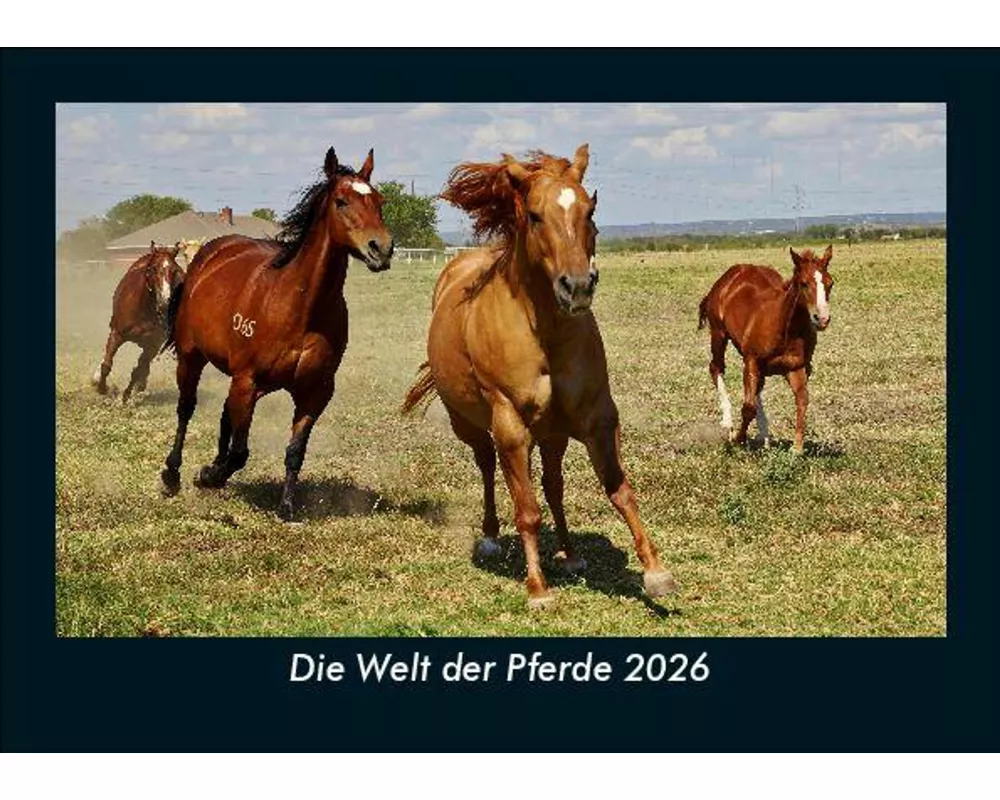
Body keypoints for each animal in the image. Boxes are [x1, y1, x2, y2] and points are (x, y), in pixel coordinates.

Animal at [92, 241, 186, 402]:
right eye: (152, 269)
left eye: (174, 271)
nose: (165, 301)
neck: (143, 310)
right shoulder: (117, 334)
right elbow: (107, 364)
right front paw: (102, 388)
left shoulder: (153, 344)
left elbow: (138, 370)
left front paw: (125, 397)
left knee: (143, 367)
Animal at [159, 147, 394, 520]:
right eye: (341, 201)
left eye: (379, 200)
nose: (381, 249)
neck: (300, 308)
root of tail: (209, 254)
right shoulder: (247, 380)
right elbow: (240, 452)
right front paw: (208, 476)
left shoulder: (314, 392)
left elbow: (294, 451)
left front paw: (286, 507)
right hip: (191, 358)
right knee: (186, 409)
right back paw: (173, 475)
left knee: (225, 416)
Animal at [403, 145, 677, 608]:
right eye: (533, 215)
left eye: (590, 209)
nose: (578, 286)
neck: (544, 333)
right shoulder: (511, 425)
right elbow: (527, 510)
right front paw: (537, 588)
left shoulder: (597, 417)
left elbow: (619, 490)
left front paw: (656, 572)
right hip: (472, 425)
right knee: (488, 467)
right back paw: (491, 538)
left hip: (553, 434)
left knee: (553, 485)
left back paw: (569, 554)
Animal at [697, 245, 835, 454]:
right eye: (803, 283)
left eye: (830, 283)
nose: (822, 319)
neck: (786, 330)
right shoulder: (751, 360)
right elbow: (748, 407)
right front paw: (738, 439)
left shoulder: (797, 368)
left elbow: (802, 400)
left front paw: (796, 448)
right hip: (718, 334)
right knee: (716, 367)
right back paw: (728, 424)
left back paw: (765, 437)